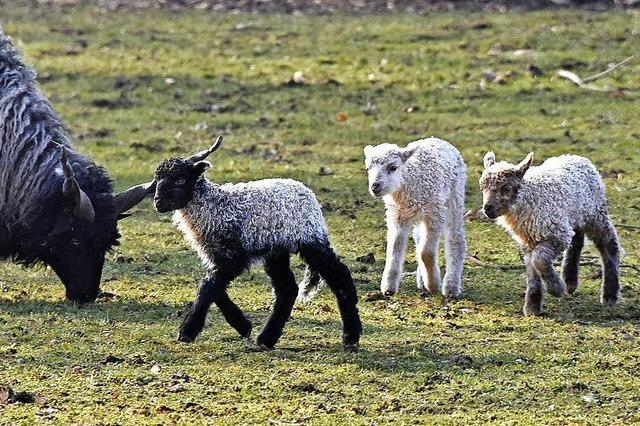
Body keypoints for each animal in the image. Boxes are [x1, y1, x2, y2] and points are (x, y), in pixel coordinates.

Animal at [149, 136, 360, 350]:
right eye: (158, 180)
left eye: (181, 179)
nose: (158, 203)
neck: (213, 206)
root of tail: (309, 194)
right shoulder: (217, 255)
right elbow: (214, 287)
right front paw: (243, 325)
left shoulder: (233, 256)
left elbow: (208, 286)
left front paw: (187, 331)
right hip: (276, 249)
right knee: (287, 289)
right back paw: (266, 339)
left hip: (310, 239)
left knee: (340, 276)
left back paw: (351, 337)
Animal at [364, 136, 464, 296]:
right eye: (368, 169)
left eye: (393, 167)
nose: (375, 186)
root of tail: (439, 140)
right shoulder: (397, 217)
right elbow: (394, 250)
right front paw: (388, 287)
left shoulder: (435, 214)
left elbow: (426, 252)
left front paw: (433, 284)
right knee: (418, 238)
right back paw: (422, 279)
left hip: (454, 198)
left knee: (456, 238)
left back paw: (451, 286)